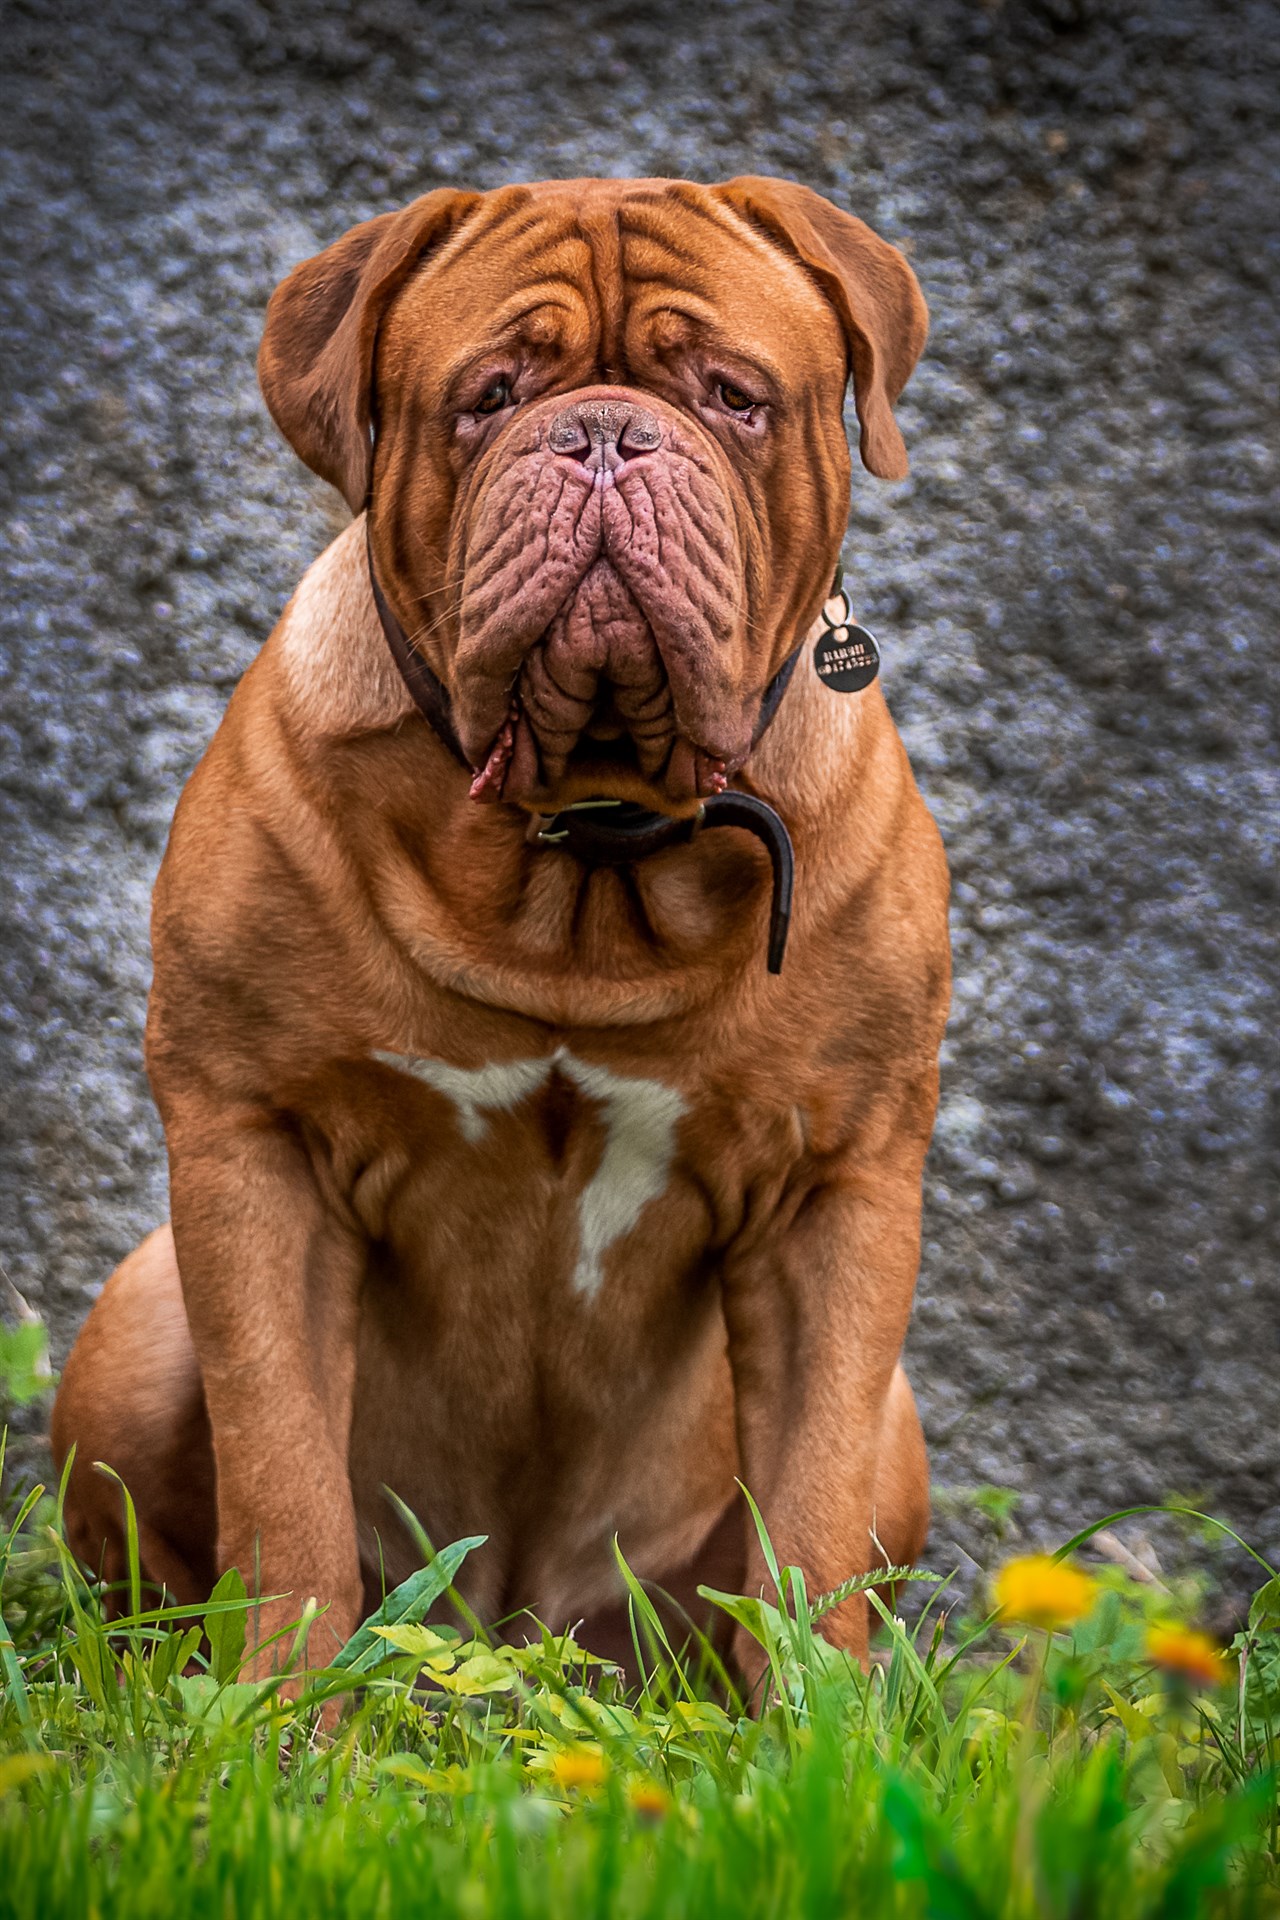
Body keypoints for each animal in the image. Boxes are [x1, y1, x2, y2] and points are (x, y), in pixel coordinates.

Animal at [52, 180, 951, 1681]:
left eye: (733, 397)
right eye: (488, 398)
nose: (602, 436)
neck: (587, 837)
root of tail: (515, 1625)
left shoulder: (842, 1183)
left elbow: (811, 1534)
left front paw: (817, 1725)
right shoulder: (252, 1140)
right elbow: (281, 1487)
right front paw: (274, 1719)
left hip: (894, 1421)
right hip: (139, 1314)